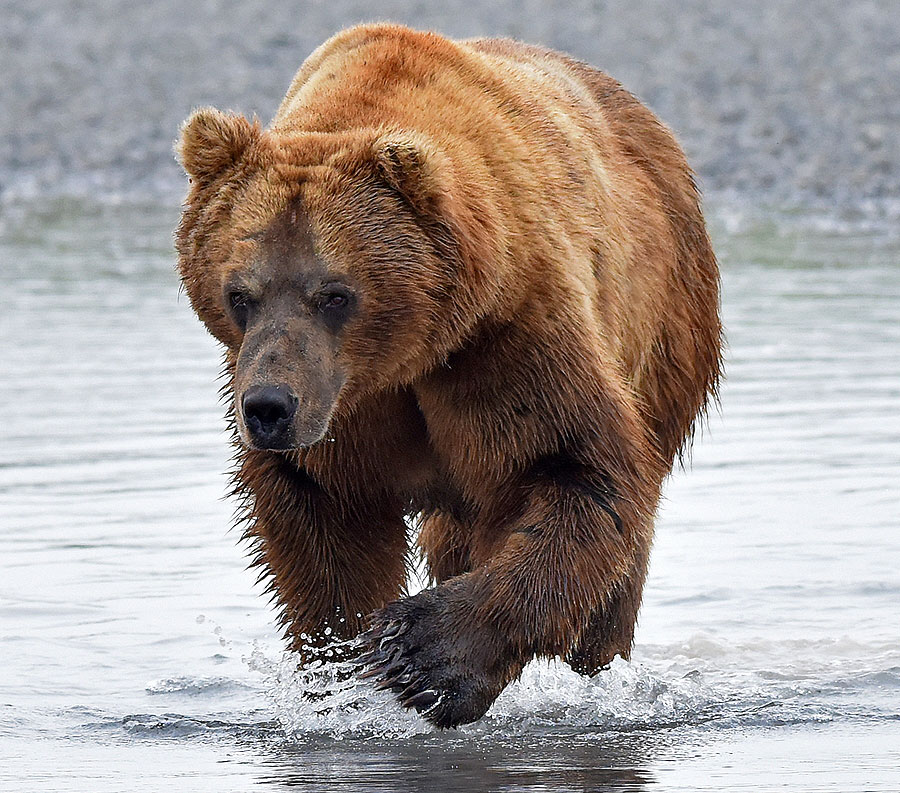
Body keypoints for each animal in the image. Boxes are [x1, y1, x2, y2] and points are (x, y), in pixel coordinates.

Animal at [178, 23, 724, 732]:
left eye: (334, 294)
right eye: (240, 294)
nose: (269, 406)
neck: (407, 351)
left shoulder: (504, 334)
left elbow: (575, 468)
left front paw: (424, 657)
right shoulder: (346, 408)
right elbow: (322, 520)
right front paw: (342, 672)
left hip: (664, 328)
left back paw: (598, 667)